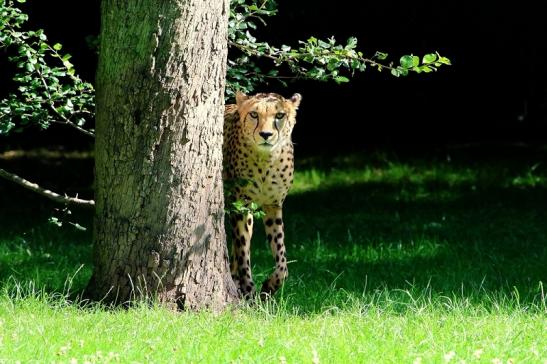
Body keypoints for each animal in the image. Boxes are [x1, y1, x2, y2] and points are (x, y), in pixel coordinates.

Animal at [224, 91, 304, 298]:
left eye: (280, 115)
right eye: (254, 114)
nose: (266, 135)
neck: (265, 162)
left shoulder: (273, 206)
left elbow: (282, 258)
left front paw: (269, 287)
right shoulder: (241, 206)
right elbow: (243, 253)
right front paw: (249, 292)